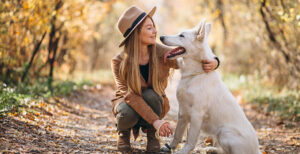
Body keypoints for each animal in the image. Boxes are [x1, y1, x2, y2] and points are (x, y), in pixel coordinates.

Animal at [159, 19, 260, 154]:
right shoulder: (182, 112)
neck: (194, 75)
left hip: (225, 133)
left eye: (182, 35)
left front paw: (183, 151)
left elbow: (190, 140)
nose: (161, 37)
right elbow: (177, 134)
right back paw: (209, 149)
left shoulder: (196, 114)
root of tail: (257, 150)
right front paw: (170, 147)